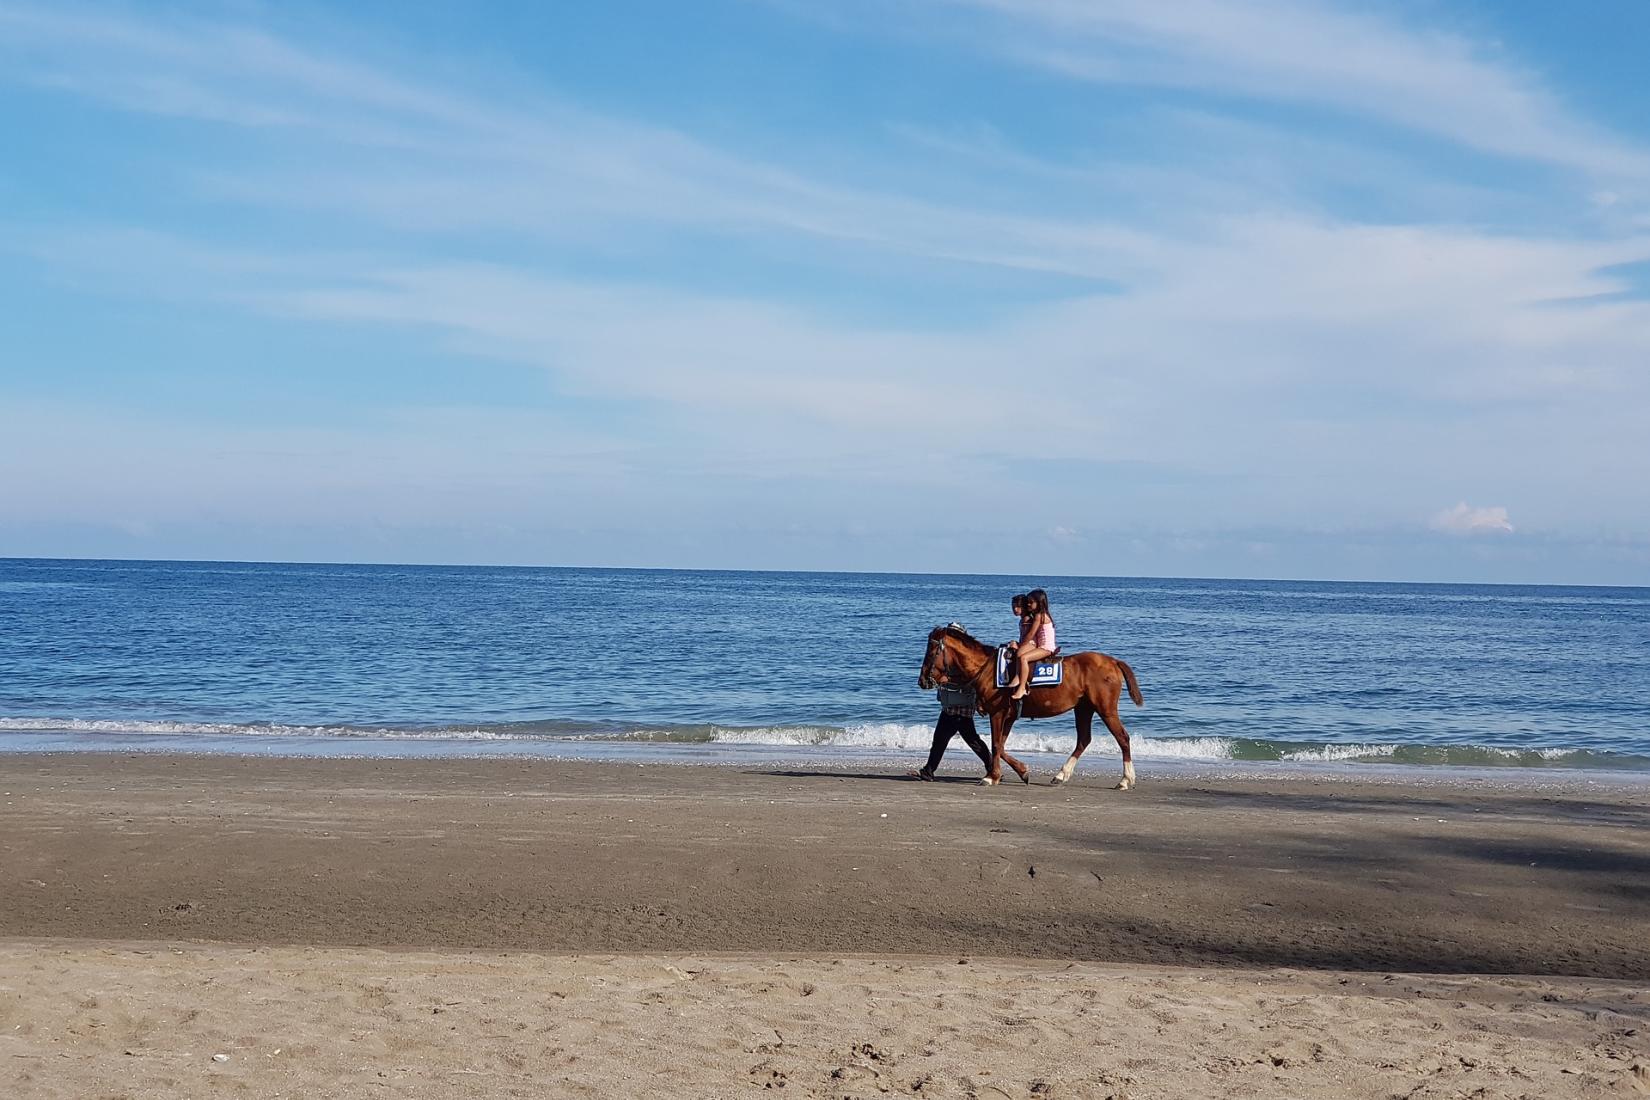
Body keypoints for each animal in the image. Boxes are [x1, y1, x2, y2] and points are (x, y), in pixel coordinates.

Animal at [917, 623, 1148, 788]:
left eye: (931, 651)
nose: (922, 680)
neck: (988, 668)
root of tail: (1113, 661)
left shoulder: (998, 713)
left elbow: (995, 745)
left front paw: (992, 777)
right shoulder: (1008, 716)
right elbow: (1000, 746)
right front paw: (1018, 771)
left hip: (1105, 709)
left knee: (1122, 738)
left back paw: (1125, 779)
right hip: (1084, 708)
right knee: (1084, 739)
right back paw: (1061, 774)